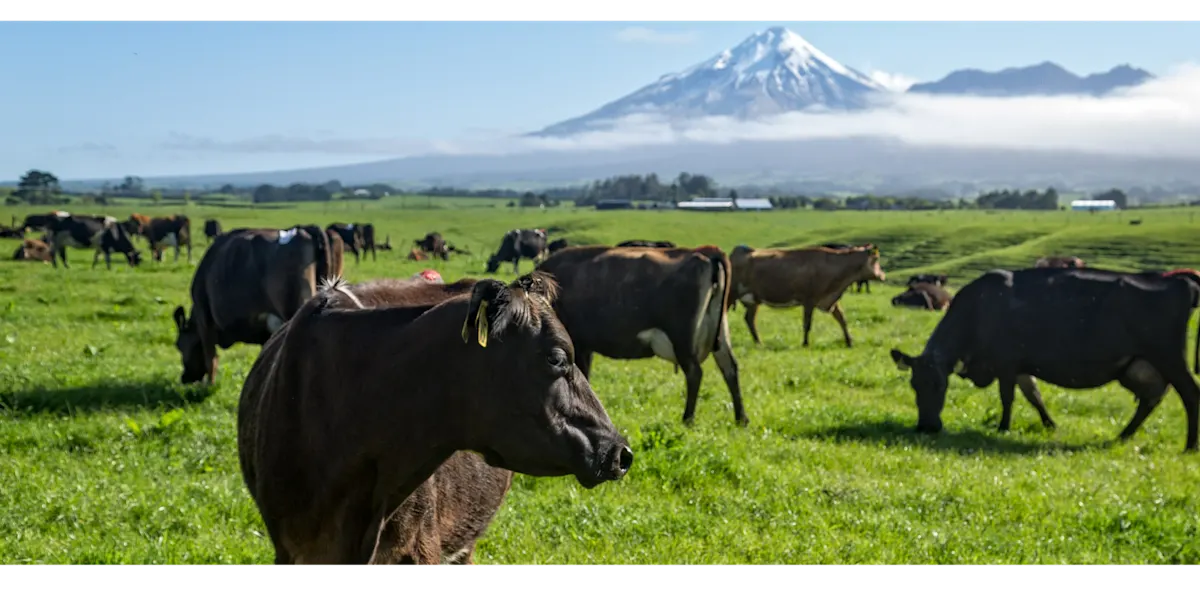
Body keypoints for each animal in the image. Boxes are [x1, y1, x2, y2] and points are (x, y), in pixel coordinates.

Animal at [172, 225, 339, 385]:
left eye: (179, 345)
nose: (184, 378)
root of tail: (304, 230)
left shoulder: (205, 319)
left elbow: (210, 357)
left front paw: (208, 385)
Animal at [535, 245, 749, 427]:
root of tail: (705, 251)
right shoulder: (584, 347)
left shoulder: (576, 345)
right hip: (720, 331)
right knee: (730, 368)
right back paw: (741, 419)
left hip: (682, 337)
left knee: (695, 373)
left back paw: (688, 419)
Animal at [730, 244, 886, 347]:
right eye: (877, 259)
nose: (883, 275)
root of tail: (739, 250)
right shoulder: (809, 300)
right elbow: (807, 324)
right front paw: (805, 343)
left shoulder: (829, 299)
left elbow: (842, 319)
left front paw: (849, 341)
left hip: (753, 300)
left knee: (749, 319)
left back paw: (758, 342)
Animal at [889, 267, 1200, 453]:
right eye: (914, 385)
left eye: (941, 386)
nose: (927, 427)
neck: (977, 310)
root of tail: (1177, 280)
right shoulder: (1021, 367)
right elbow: (1034, 395)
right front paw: (1050, 425)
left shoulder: (1006, 363)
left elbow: (1008, 397)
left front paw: (1003, 427)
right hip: (1139, 366)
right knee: (1150, 399)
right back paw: (1123, 436)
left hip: (1170, 358)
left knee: (1189, 394)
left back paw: (1190, 446)